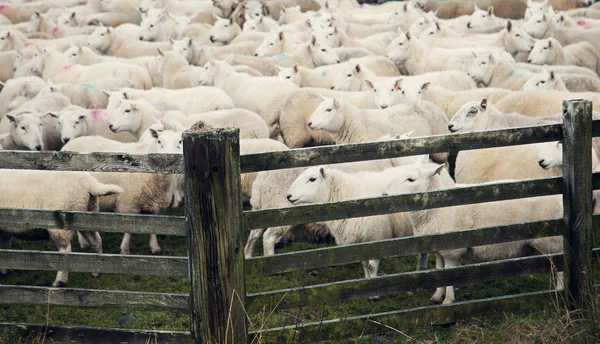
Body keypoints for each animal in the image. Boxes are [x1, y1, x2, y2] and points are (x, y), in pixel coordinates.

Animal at [384, 161, 564, 304]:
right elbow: (439, 272)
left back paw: (559, 290)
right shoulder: (440, 250)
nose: (384, 194)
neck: (436, 209)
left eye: (411, 179)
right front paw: (437, 296)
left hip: (553, 240)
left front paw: (448, 301)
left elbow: (449, 275)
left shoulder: (452, 250)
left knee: (560, 268)